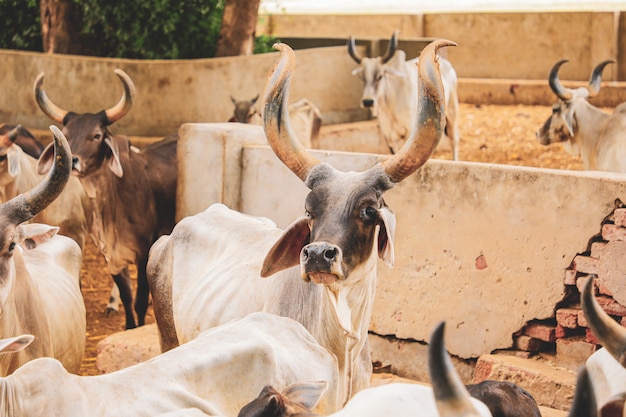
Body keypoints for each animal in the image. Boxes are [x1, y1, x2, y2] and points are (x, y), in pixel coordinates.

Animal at [33, 68, 177, 328]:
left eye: (97, 135)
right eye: (65, 135)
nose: (74, 160)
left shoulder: (144, 252)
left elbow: (139, 301)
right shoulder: (111, 255)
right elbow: (127, 296)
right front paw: (129, 326)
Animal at [346, 30, 458, 159]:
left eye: (380, 76)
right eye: (361, 78)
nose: (368, 101)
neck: (390, 107)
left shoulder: (409, 131)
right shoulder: (389, 136)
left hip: (452, 112)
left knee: (454, 140)